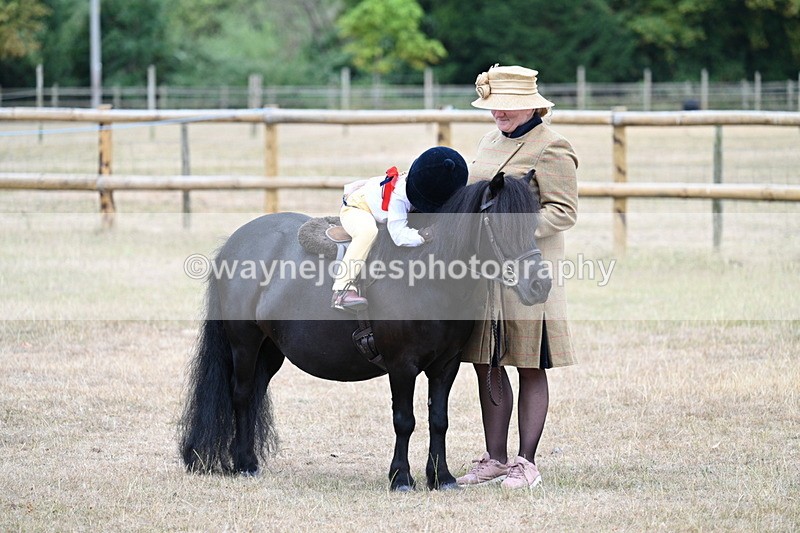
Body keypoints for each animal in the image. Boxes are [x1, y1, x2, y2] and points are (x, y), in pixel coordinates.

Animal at [178, 170, 551, 491]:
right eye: (501, 221)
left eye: (534, 222)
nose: (540, 285)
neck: (429, 276)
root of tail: (235, 242)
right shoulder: (402, 365)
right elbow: (405, 420)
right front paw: (401, 478)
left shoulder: (446, 366)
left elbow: (438, 419)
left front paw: (441, 478)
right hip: (244, 343)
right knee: (241, 395)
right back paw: (244, 464)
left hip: (269, 352)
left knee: (254, 393)